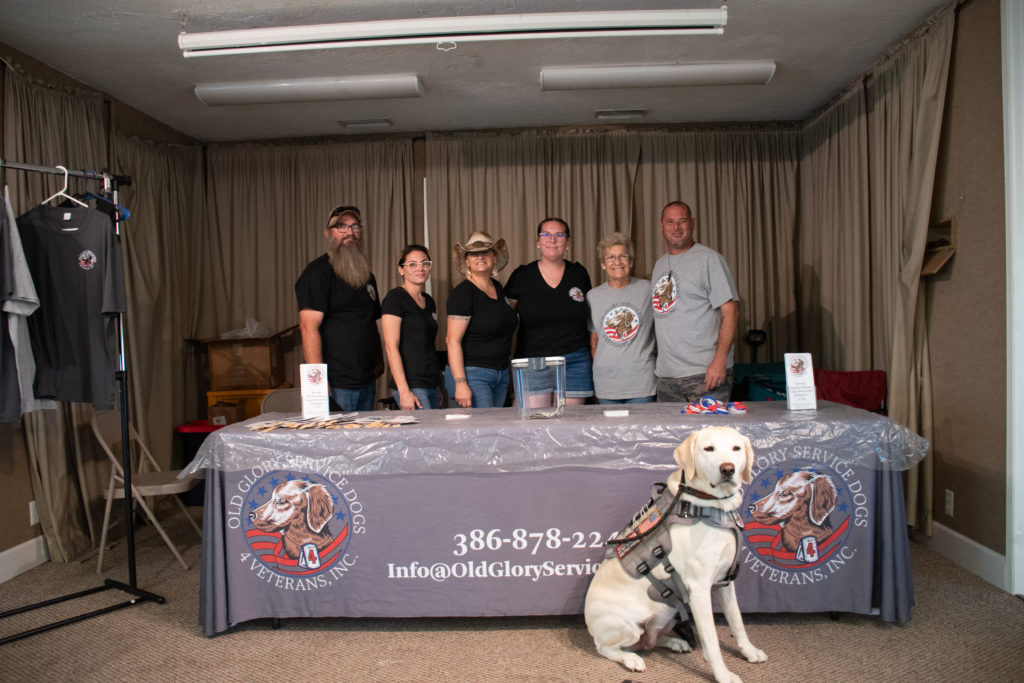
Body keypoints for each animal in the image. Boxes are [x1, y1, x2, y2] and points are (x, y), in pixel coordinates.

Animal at [589, 428, 765, 683]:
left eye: (736, 448)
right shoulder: (699, 588)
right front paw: (723, 675)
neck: (709, 505)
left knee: (650, 640)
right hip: (627, 625)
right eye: (708, 448)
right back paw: (632, 659)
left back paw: (675, 642)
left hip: (667, 611)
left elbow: (737, 622)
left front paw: (749, 652)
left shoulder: (724, 582)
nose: (727, 469)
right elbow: (712, 641)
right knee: (607, 648)